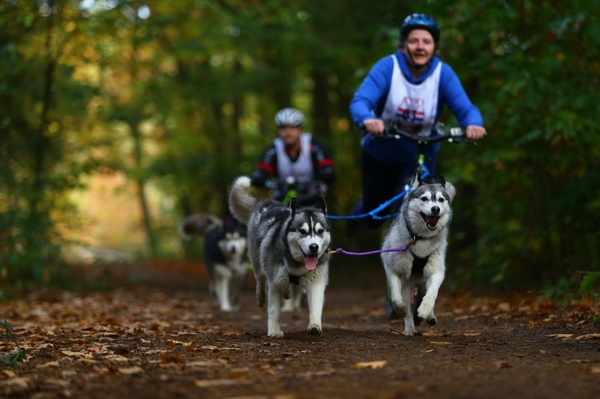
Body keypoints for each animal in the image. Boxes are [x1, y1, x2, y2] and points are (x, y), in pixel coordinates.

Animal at [229, 177, 332, 338]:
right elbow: (274, 310)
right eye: (303, 231)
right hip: (258, 263)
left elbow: (315, 305)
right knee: (261, 280)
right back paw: (261, 297)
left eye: (320, 231)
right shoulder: (274, 282)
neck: (297, 264)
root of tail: (266, 202)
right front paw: (275, 331)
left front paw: (315, 325)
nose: (314, 247)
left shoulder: (316, 281)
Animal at [382, 177, 458, 336]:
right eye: (424, 198)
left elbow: (432, 293)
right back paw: (410, 328)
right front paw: (402, 310)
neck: (421, 239)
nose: (435, 209)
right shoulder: (393, 270)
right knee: (405, 302)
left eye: (441, 199)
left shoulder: (436, 271)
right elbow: (396, 299)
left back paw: (429, 315)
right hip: (406, 282)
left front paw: (425, 309)